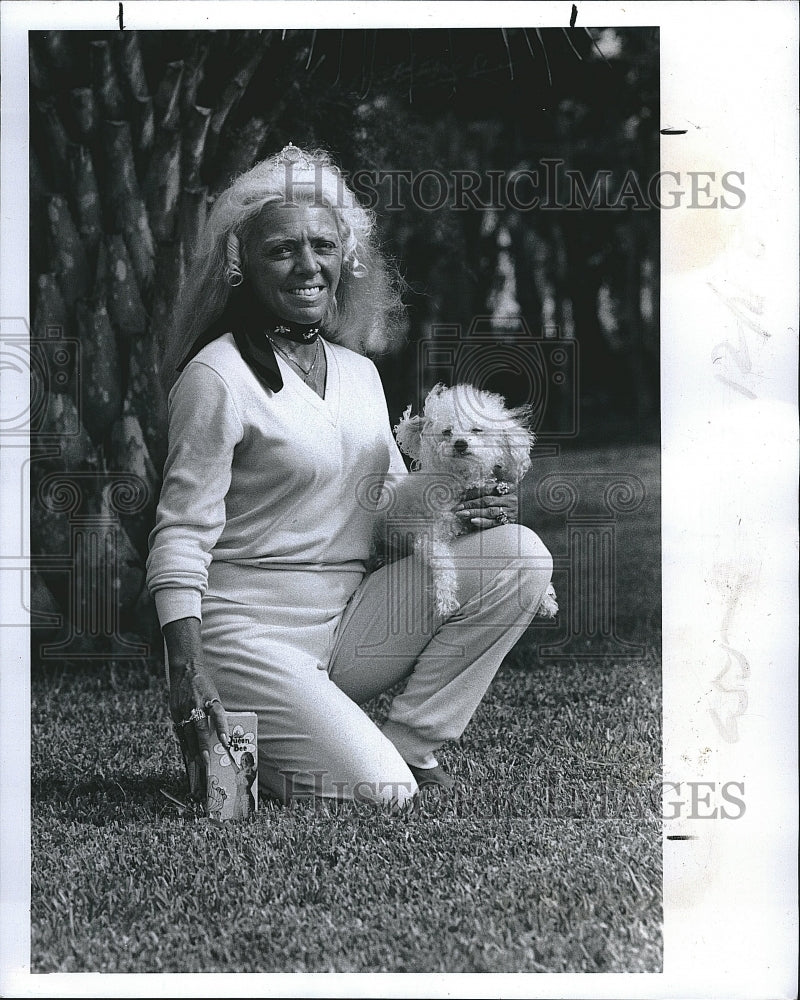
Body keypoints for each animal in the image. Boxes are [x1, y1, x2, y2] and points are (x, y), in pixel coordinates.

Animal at [392, 382, 556, 616]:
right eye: (447, 432)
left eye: (477, 430)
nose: (460, 444)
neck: (464, 481)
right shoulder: (430, 537)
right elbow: (442, 562)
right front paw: (445, 598)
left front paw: (546, 598)